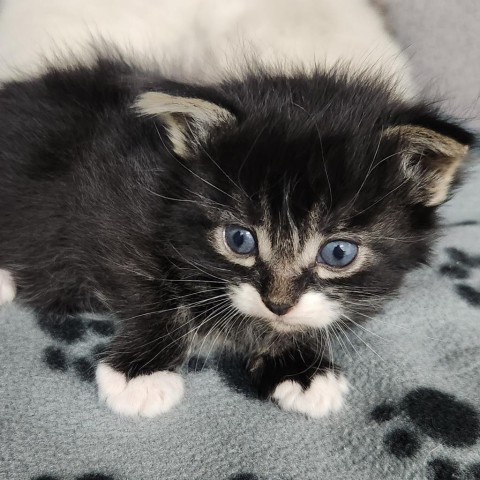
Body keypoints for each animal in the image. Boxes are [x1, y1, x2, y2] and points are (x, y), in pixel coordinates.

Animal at [0, 56, 474, 418]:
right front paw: (141, 373)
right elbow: (149, 289)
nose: (277, 303)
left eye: (338, 252)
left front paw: (298, 368)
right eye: (239, 240)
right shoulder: (108, 197)